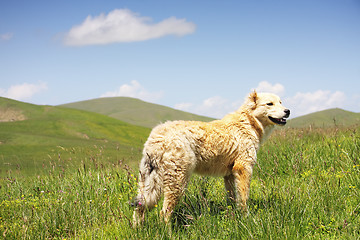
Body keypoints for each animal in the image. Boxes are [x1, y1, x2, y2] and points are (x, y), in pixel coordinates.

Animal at [132, 91, 290, 225]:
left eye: (281, 102)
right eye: (269, 104)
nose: (287, 111)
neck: (249, 122)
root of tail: (157, 135)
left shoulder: (229, 174)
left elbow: (232, 198)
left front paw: (233, 216)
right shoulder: (243, 168)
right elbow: (244, 198)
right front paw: (246, 218)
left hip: (148, 181)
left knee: (139, 208)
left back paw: (138, 230)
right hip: (177, 181)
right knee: (163, 213)